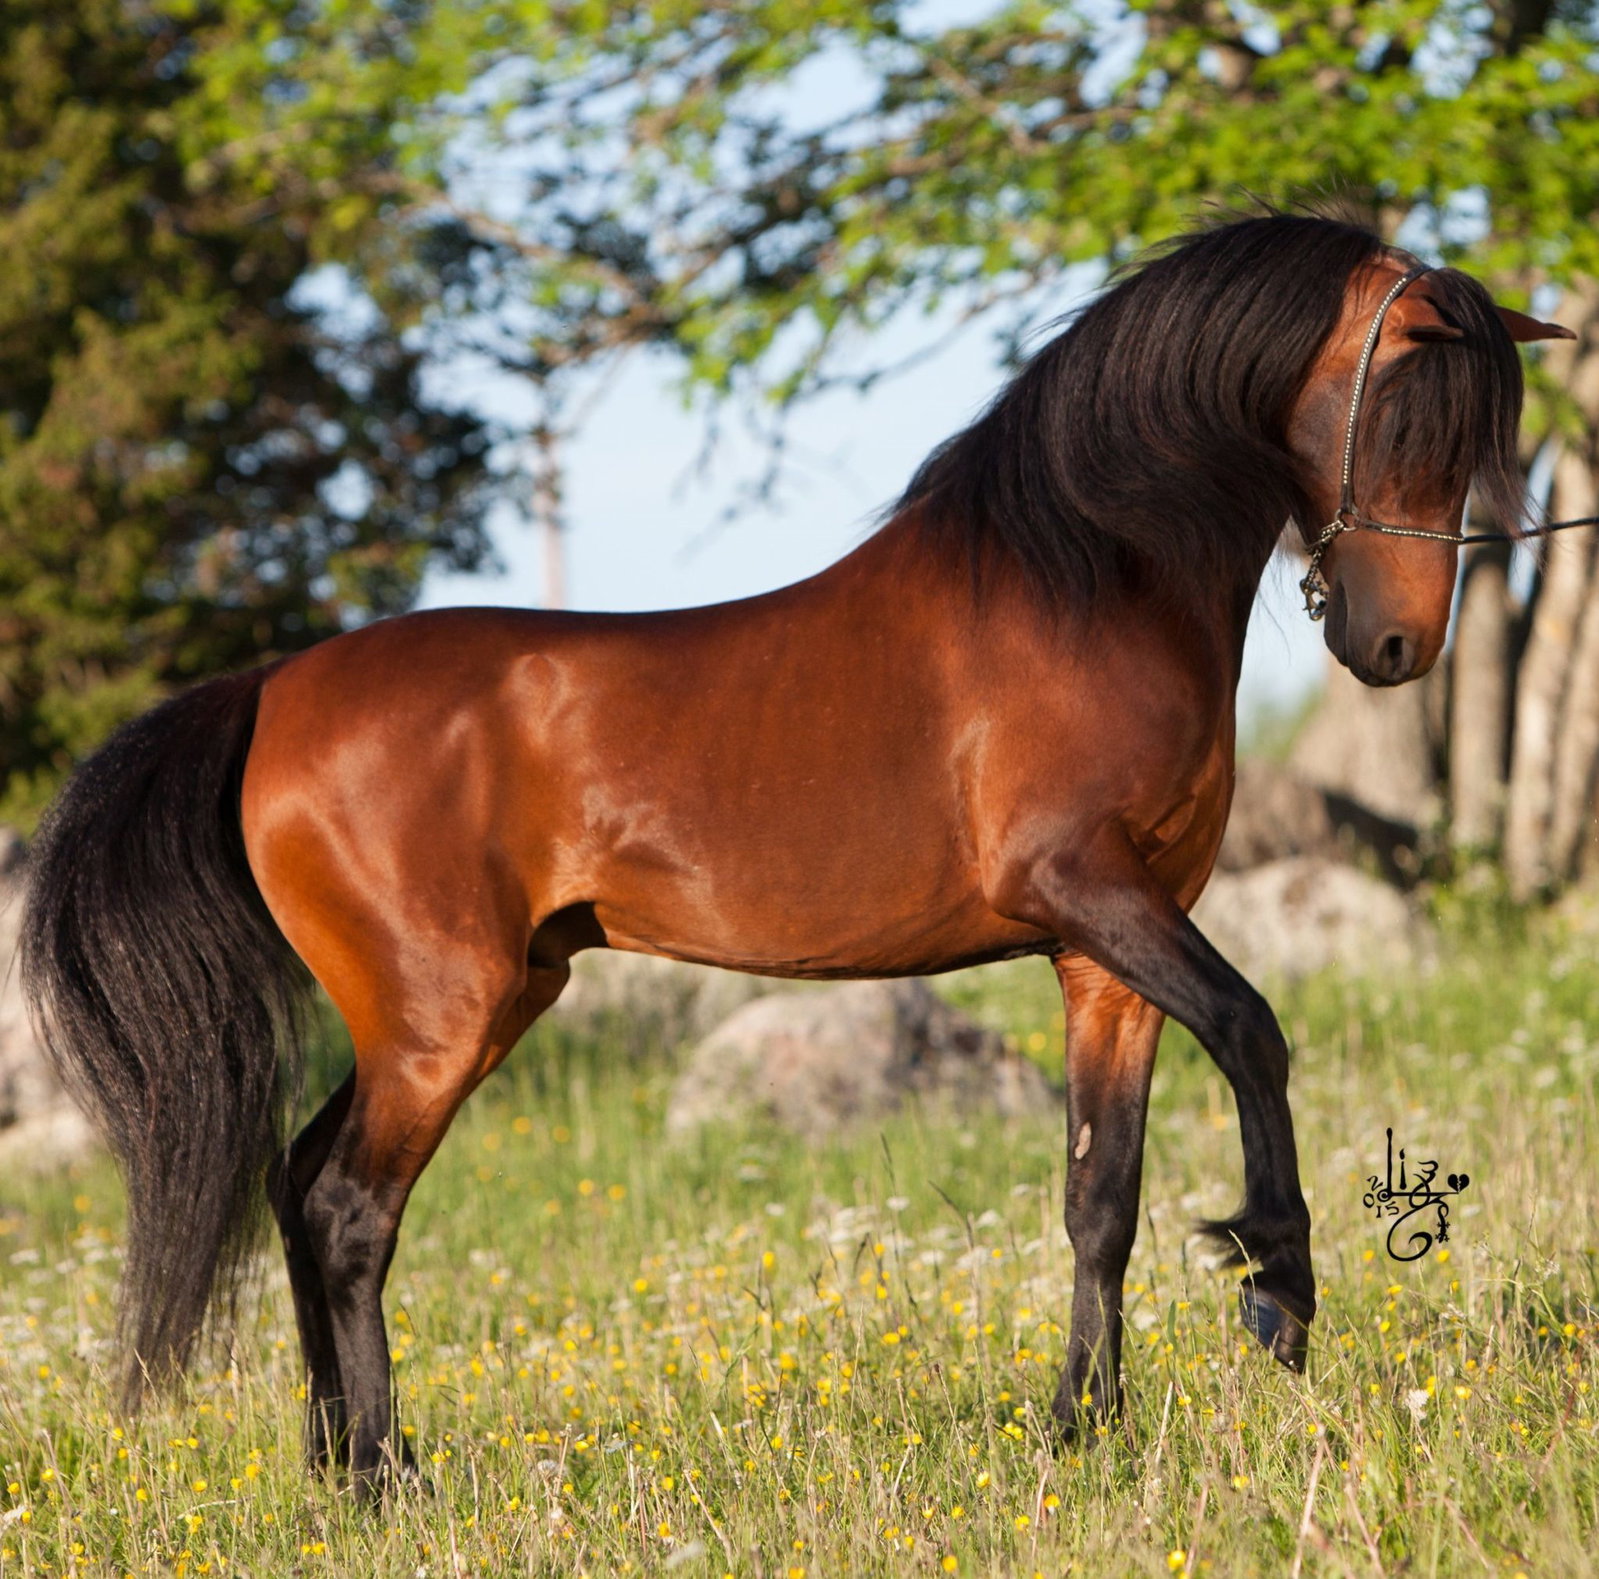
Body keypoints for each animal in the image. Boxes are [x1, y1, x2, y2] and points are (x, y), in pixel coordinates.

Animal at [22, 214, 1571, 1488]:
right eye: (1406, 420)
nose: (1392, 646)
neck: (1085, 582)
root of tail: (272, 691)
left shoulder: (1102, 956)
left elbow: (1100, 1195)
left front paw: (1085, 1425)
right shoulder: (1087, 892)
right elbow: (1255, 1030)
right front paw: (1274, 1289)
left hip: (473, 1002)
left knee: (296, 1188)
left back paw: (334, 1469)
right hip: (438, 1017)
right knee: (347, 1209)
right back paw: (387, 1478)